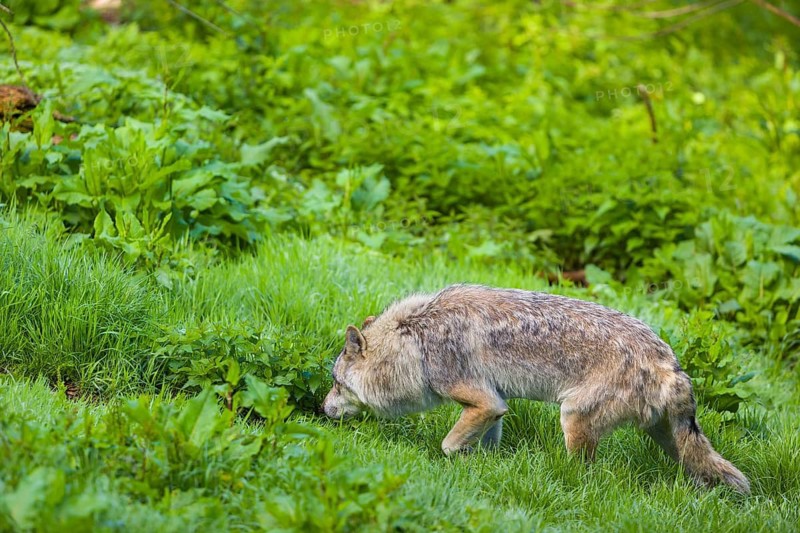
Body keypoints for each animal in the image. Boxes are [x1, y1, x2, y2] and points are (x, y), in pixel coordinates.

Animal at [323, 284, 750, 494]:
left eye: (336, 383)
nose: (324, 409)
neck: (414, 339)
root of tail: (671, 364)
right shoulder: (495, 406)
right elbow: (482, 445)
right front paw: (481, 468)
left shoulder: (482, 402)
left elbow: (446, 446)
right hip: (669, 441)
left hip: (573, 421)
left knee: (583, 476)